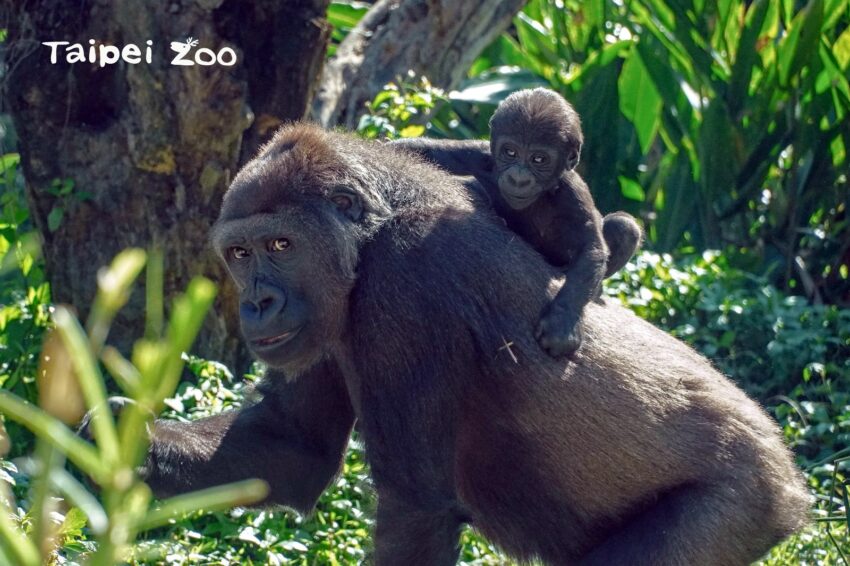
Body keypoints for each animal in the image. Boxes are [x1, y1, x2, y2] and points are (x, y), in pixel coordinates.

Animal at [141, 125, 808, 566]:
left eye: (281, 246)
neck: (374, 230)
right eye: (240, 253)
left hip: (741, 502)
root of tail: (792, 480)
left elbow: (416, 510)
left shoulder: (406, 275)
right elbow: (290, 447)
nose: (257, 304)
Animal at [394, 86, 640, 358]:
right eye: (510, 152)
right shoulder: (481, 156)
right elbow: (421, 150)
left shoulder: (573, 192)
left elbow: (592, 249)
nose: (518, 178)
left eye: (539, 159)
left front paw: (562, 323)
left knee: (624, 227)